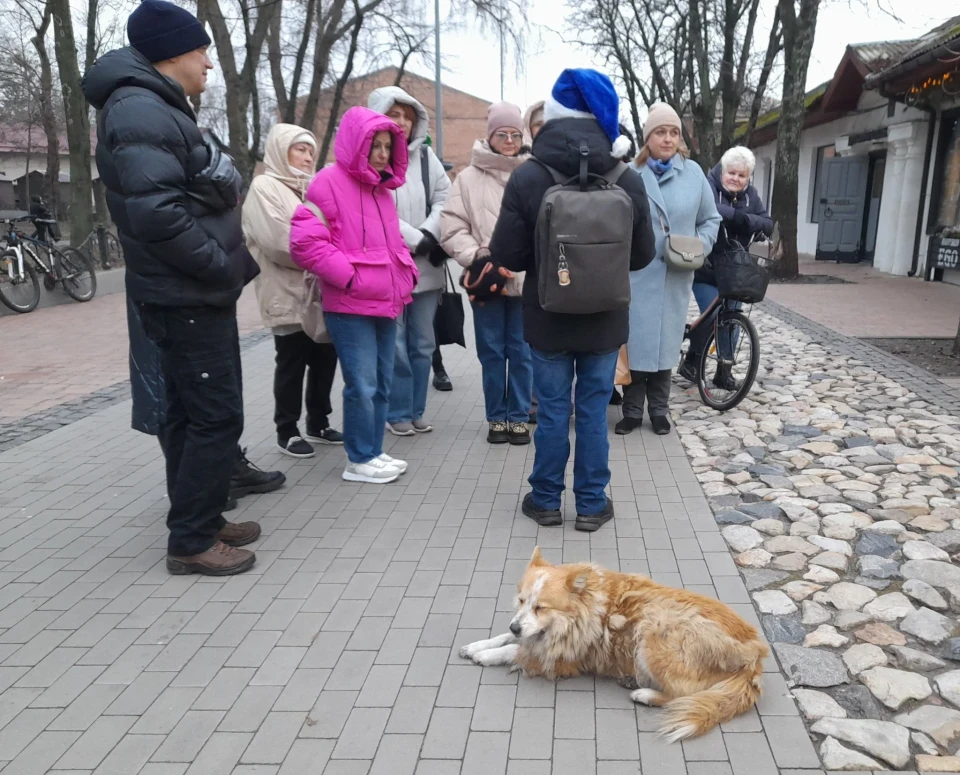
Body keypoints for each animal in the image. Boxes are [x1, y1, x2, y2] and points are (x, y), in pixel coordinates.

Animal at [458, 544, 764, 740]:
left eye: (541, 607)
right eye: (521, 601)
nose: (515, 623)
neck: (582, 608)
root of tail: (755, 656)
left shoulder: (560, 658)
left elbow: (513, 649)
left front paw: (486, 656)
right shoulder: (530, 632)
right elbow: (507, 637)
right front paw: (477, 645)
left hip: (656, 630)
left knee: (683, 695)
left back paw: (644, 694)